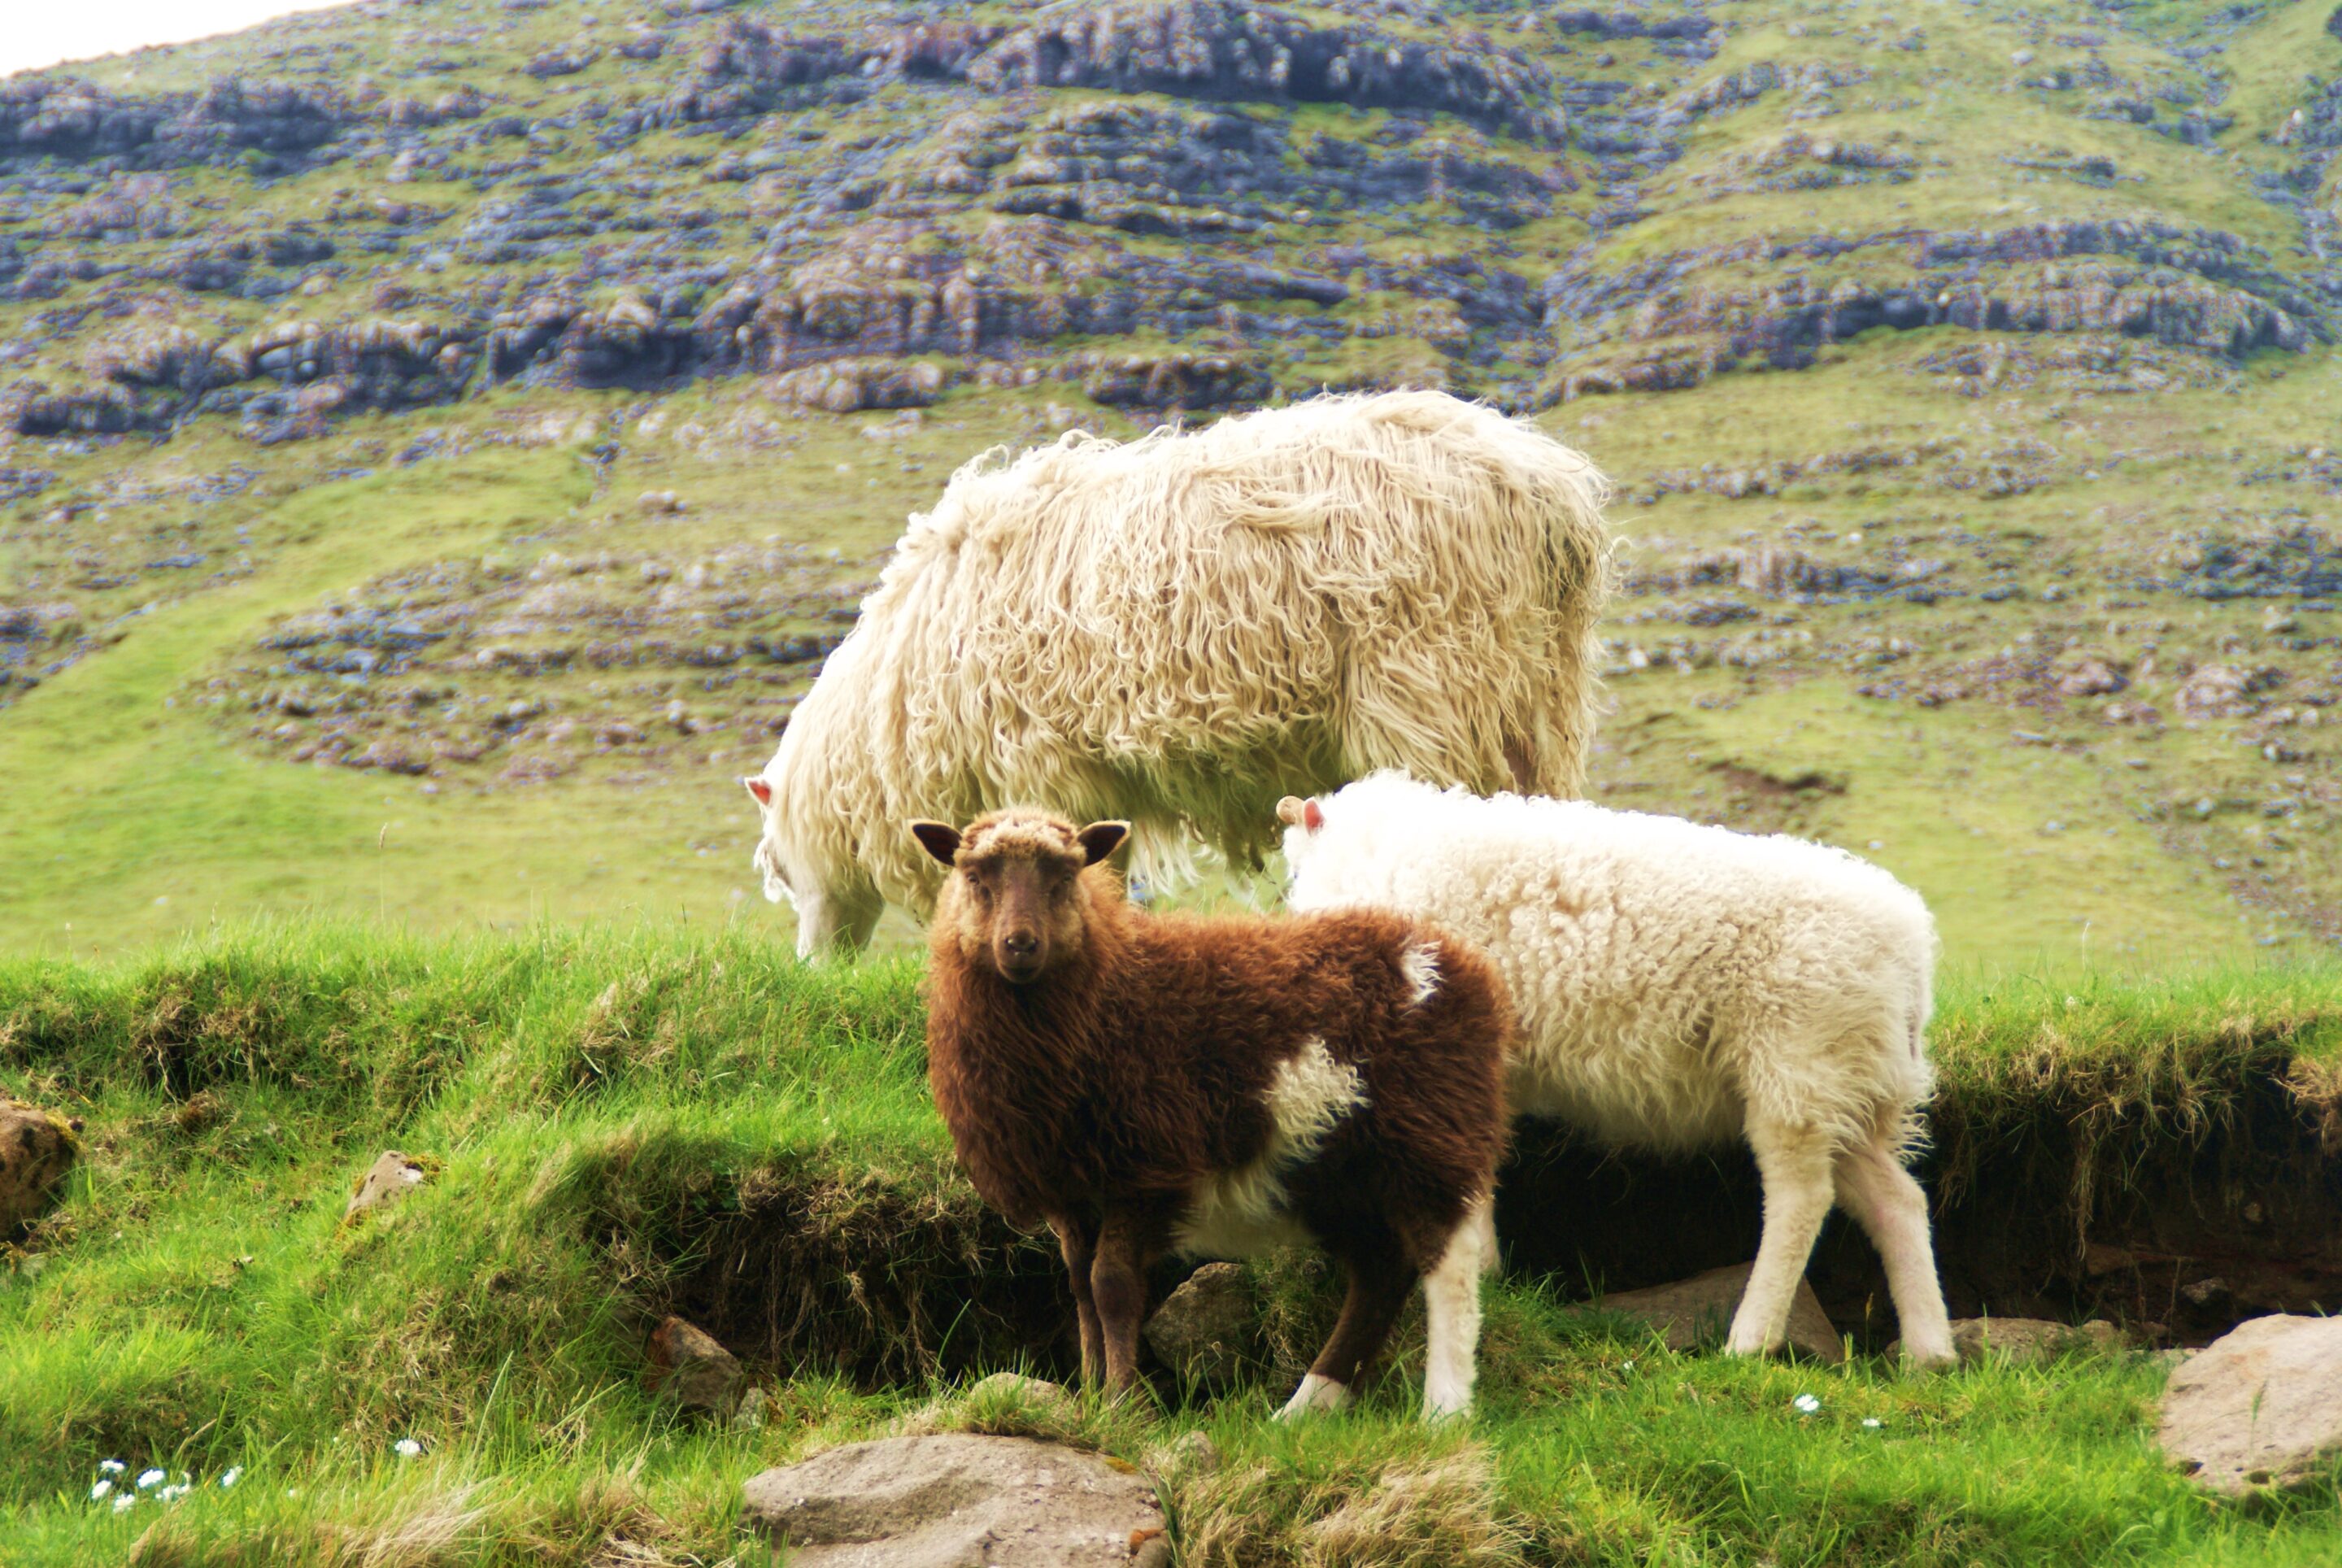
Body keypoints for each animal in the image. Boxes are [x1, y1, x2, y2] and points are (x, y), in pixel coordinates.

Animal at [749, 391, 1611, 956]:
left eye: (782, 870)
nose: (815, 968)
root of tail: (1545, 491)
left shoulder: (1043, 763)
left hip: (1437, 687)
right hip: (1533, 696)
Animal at [903, 806, 1508, 1415]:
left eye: (1065, 877)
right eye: (975, 877)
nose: (1020, 945)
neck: (1109, 990)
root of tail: (1458, 962)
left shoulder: (1143, 1169)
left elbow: (1111, 1285)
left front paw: (1122, 1403)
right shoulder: (1069, 1183)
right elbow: (1078, 1286)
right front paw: (1092, 1392)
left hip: (1428, 1133)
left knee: (1448, 1263)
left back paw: (1444, 1409)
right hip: (1336, 1170)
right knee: (1381, 1273)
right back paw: (1307, 1406)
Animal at [1273, 777, 1948, 1359]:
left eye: (1294, 867)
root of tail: (1911, 946)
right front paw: (1490, 1269)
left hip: (1796, 1064)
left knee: (1802, 1199)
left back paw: (1750, 1340)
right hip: (1847, 1079)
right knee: (1896, 1200)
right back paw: (1929, 1351)